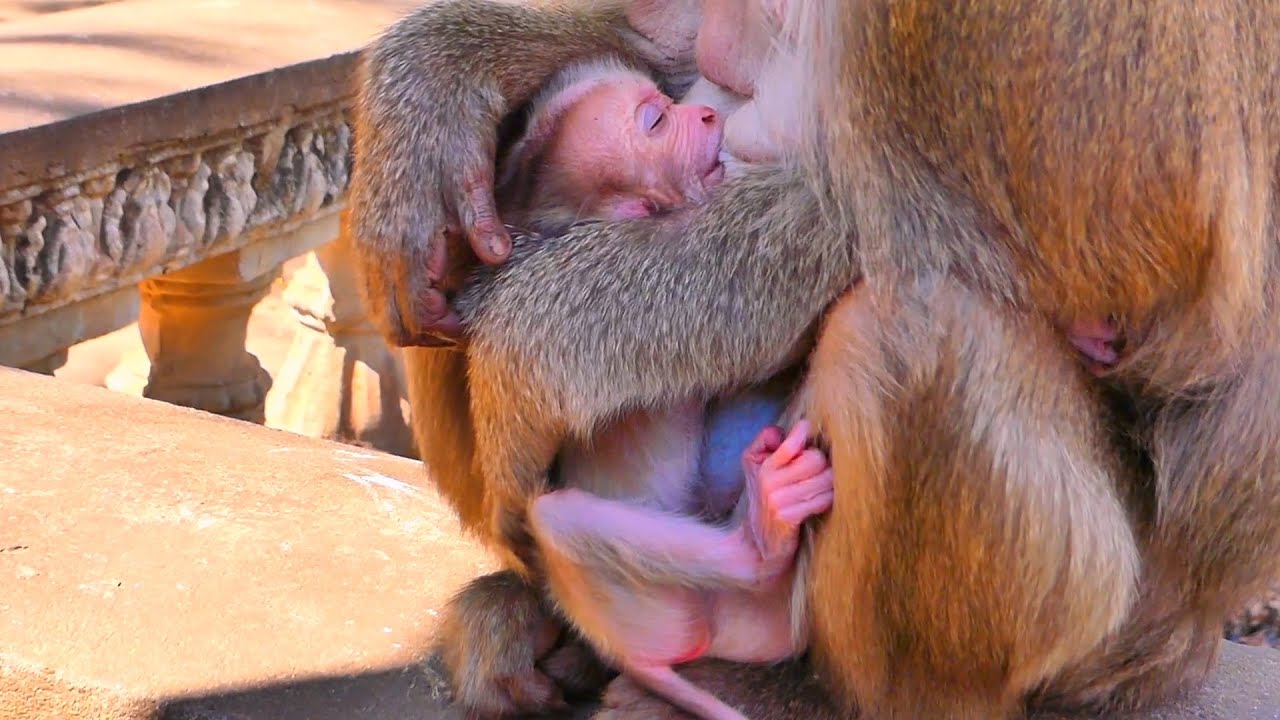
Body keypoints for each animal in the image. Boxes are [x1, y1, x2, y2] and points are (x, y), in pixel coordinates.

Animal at [351, 1, 1280, 720]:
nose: (703, 123)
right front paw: (441, 74)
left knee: (914, 324)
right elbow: (668, 34)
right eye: (655, 122)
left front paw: (546, 339)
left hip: (1108, 639)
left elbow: (1130, 248)